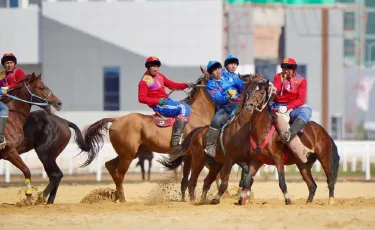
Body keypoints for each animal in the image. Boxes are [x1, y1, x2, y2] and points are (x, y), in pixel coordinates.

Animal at [82, 67, 217, 202]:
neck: (197, 114)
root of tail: (116, 120)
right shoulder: (196, 154)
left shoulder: (188, 155)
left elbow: (186, 179)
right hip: (127, 156)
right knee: (119, 175)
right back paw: (122, 199)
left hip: (131, 153)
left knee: (110, 166)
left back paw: (116, 195)